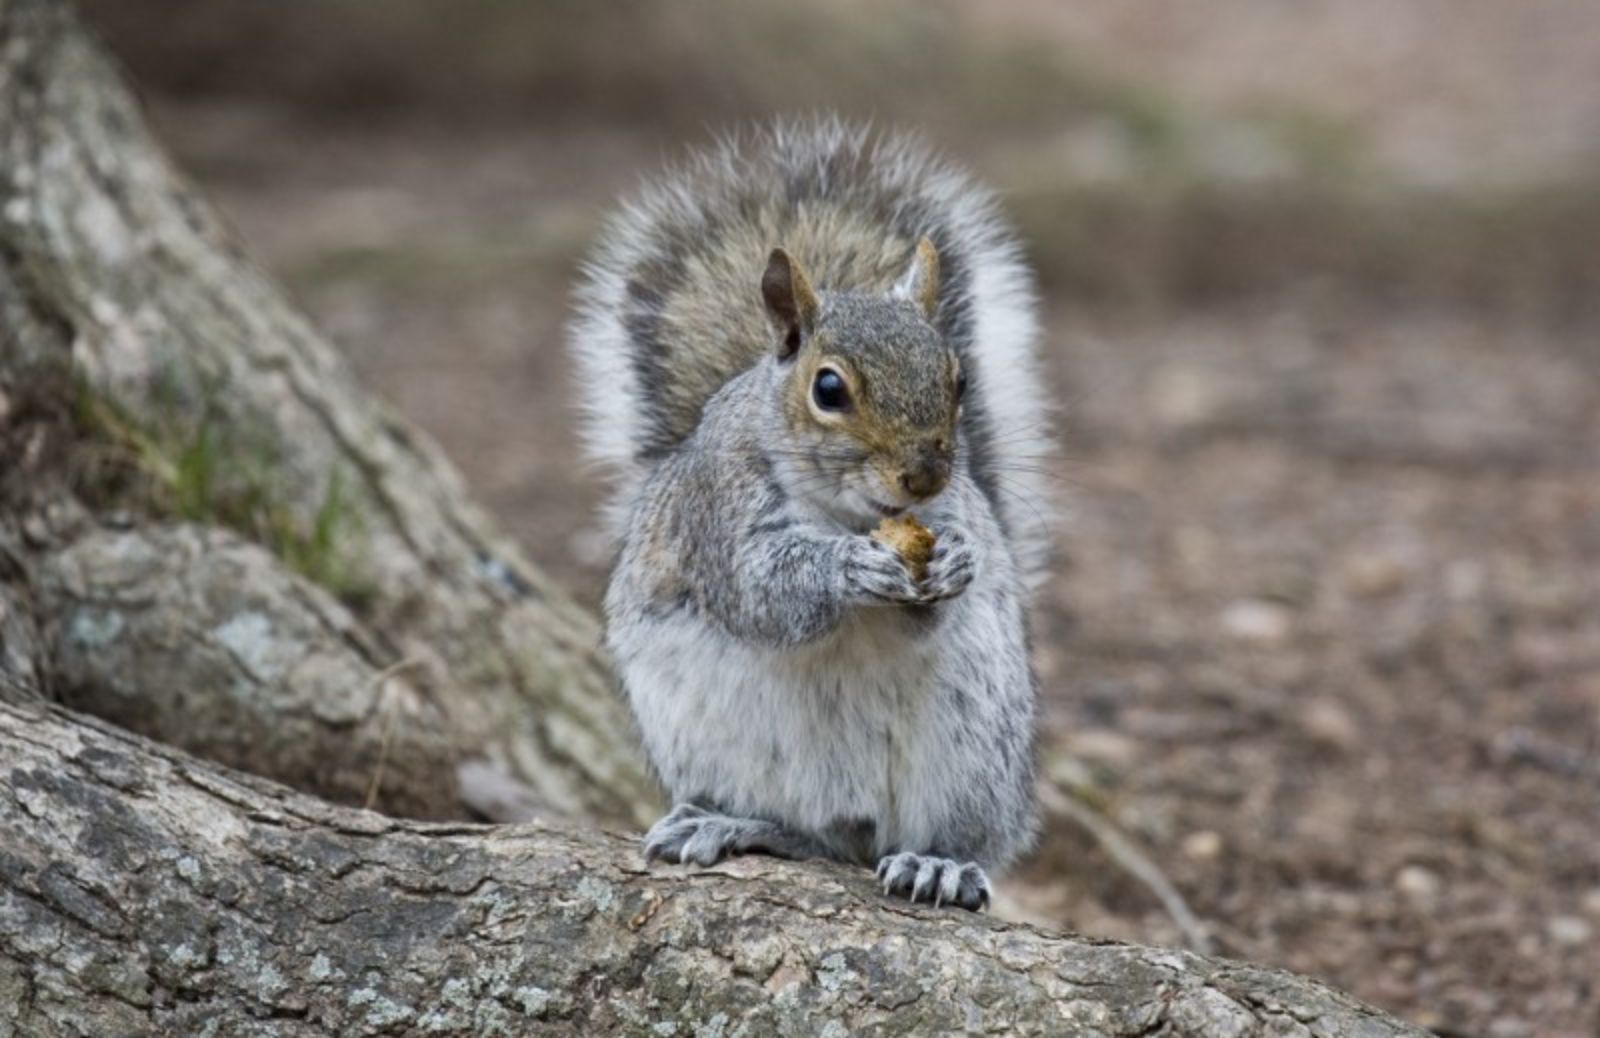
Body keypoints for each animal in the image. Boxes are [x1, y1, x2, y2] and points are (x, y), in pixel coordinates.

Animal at [569, 119, 1056, 908]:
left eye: (958, 381)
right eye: (829, 389)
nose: (924, 476)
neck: (845, 509)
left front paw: (957, 561)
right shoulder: (718, 512)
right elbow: (760, 592)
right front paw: (849, 568)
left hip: (974, 754)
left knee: (932, 838)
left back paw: (939, 863)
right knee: (813, 838)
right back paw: (733, 823)